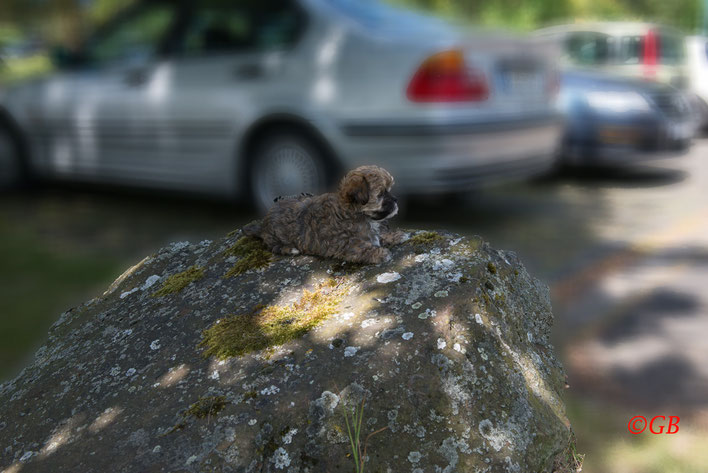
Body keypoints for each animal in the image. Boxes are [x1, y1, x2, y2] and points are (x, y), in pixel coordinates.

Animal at [245, 164, 404, 264]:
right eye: (381, 194)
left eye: (389, 190)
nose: (396, 199)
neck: (355, 212)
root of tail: (263, 226)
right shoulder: (345, 244)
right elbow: (360, 248)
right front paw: (378, 253)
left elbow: (378, 235)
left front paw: (394, 235)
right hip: (274, 238)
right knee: (274, 247)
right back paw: (290, 249)